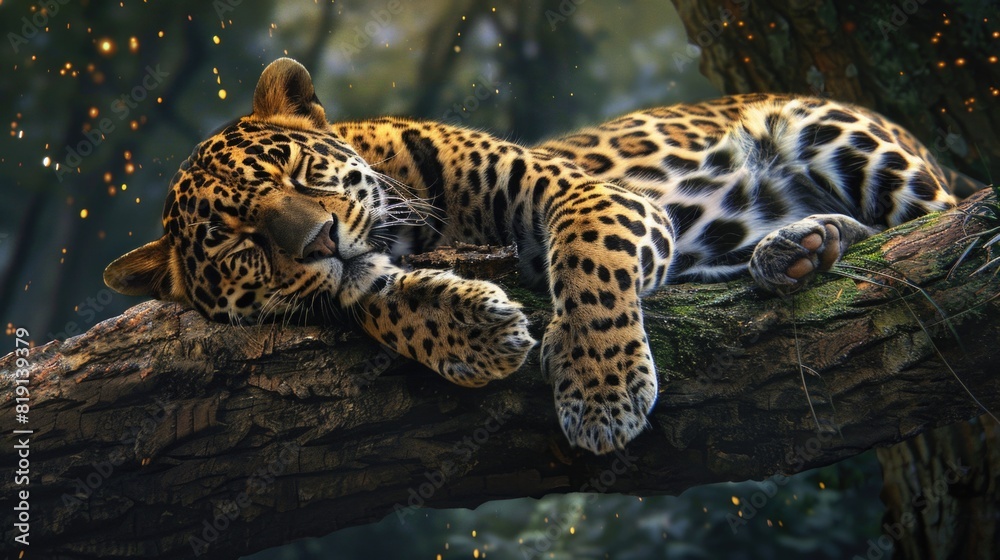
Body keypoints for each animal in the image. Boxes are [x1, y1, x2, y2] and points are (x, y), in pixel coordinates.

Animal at [105, 57, 975, 455]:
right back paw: (794, 249)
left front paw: (600, 392)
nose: (318, 241)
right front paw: (475, 334)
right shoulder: (355, 282)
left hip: (847, 140)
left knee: (940, 225)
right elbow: (373, 301)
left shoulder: (593, 197)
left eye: (295, 171)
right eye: (237, 244)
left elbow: (589, 264)